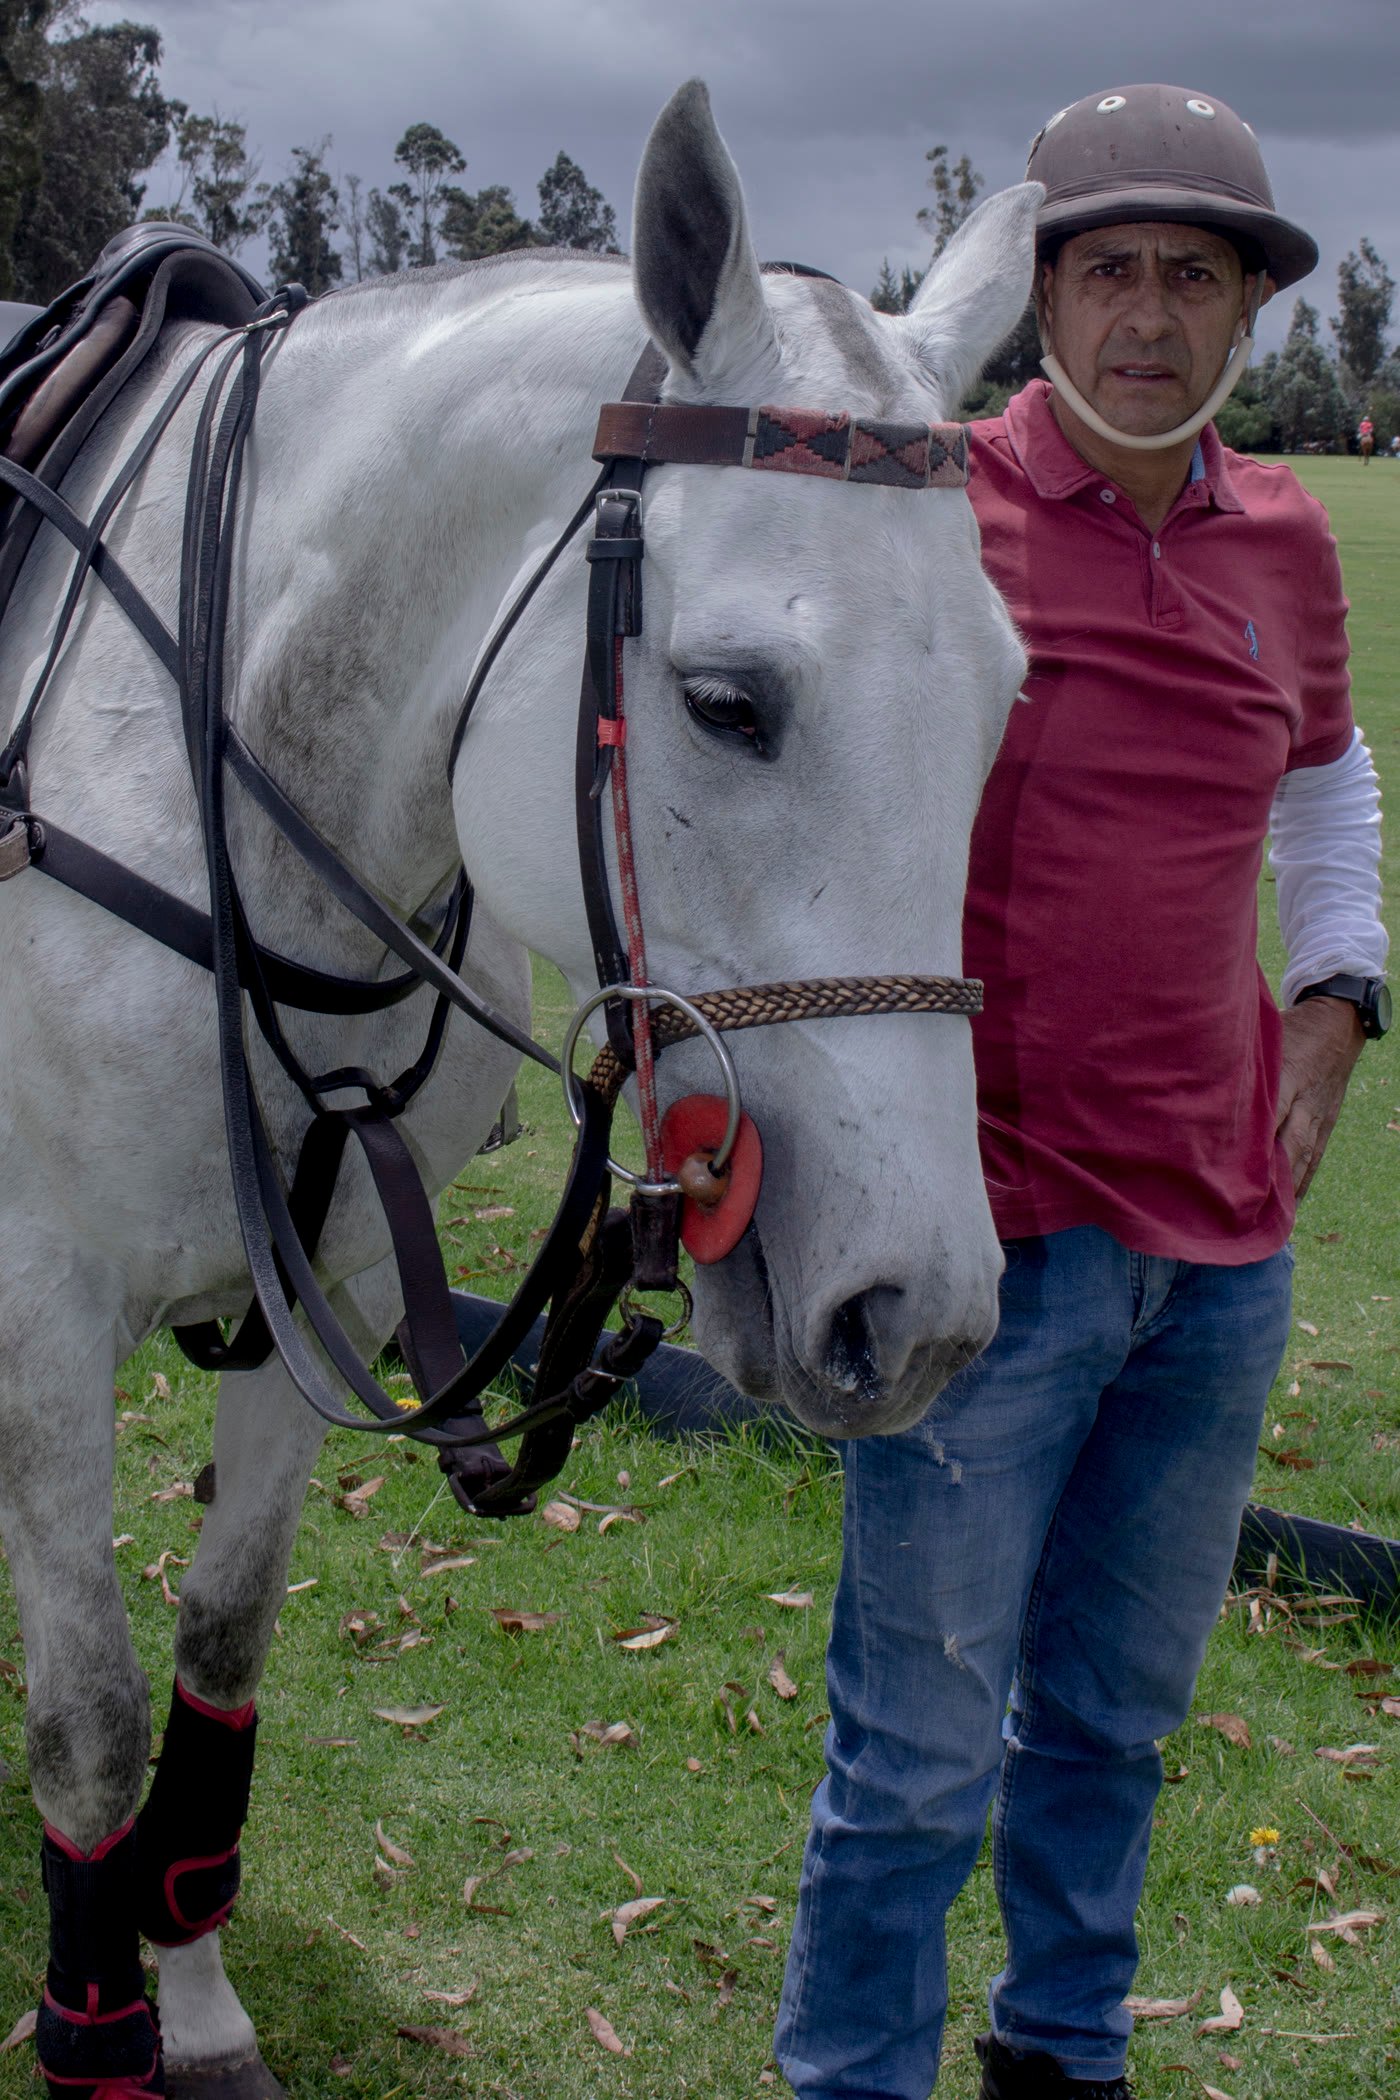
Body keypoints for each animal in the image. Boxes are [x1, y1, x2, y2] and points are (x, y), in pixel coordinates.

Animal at [0, 80, 1038, 2096]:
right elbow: (89, 1728)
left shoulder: (308, 1289)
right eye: (726, 702)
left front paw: (196, 1998)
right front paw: (99, 2030)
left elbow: (221, 1648)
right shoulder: (36, 1318)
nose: (925, 1313)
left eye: (1007, 700)